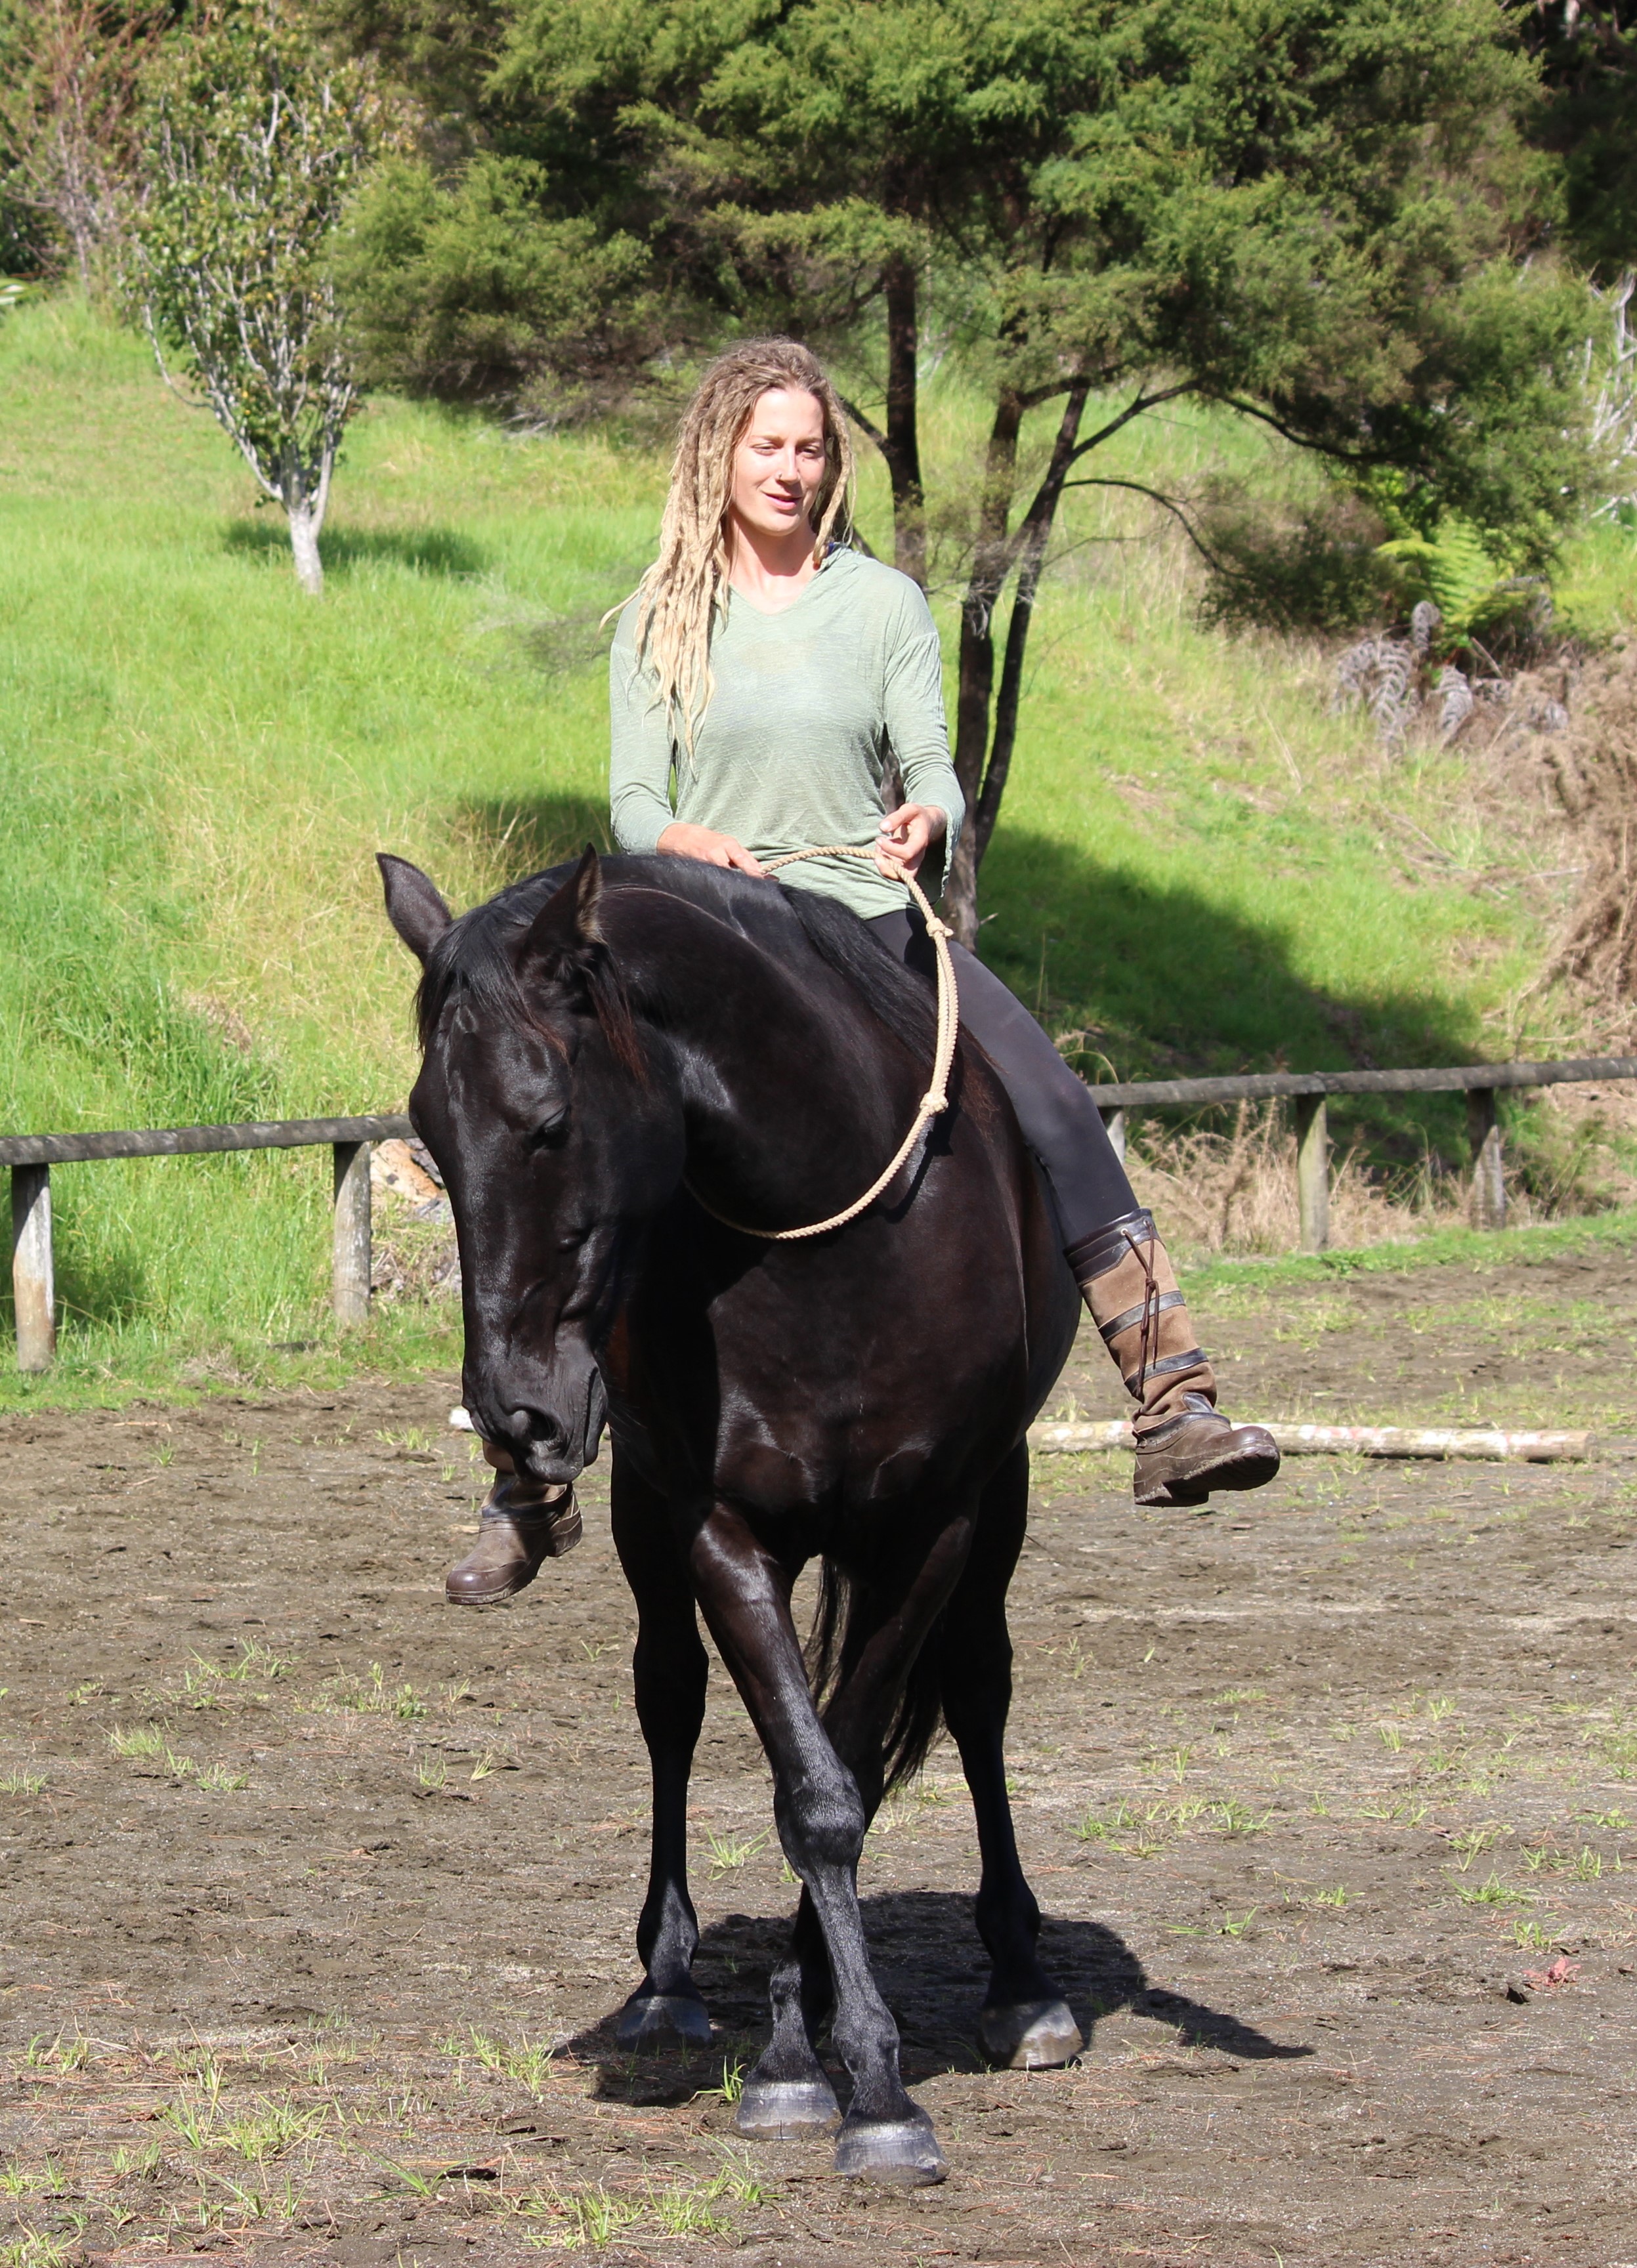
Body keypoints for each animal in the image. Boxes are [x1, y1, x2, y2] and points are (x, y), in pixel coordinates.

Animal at [378, 845, 1083, 2186]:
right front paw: (815, 2066)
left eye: (548, 1122)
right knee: (669, 1698)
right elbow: (810, 1792)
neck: (829, 1248)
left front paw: (861, 2074)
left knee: (978, 1691)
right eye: (428, 1134)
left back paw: (1022, 1984)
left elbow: (846, 1769)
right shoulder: (719, 1530)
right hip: (646, 1513)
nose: (515, 1416)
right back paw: (667, 1982)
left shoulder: (935, 1526)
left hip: (997, 1506)